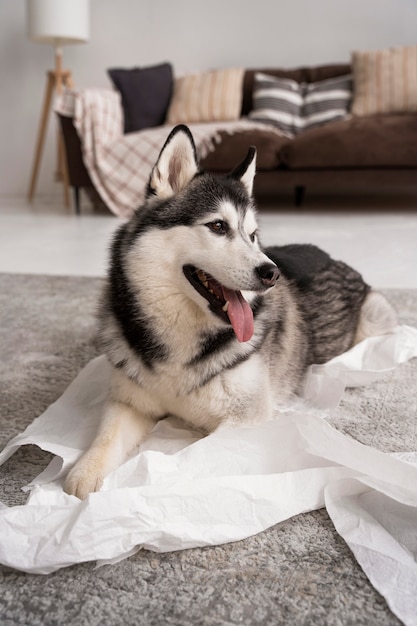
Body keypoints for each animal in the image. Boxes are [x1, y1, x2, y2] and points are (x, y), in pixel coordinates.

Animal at [63, 123, 394, 498]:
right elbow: (105, 437)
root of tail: (333, 257)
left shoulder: (246, 418)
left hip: (375, 316)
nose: (271, 273)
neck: (182, 338)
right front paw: (84, 472)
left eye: (253, 235)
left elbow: (193, 453)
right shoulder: (130, 401)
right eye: (218, 226)